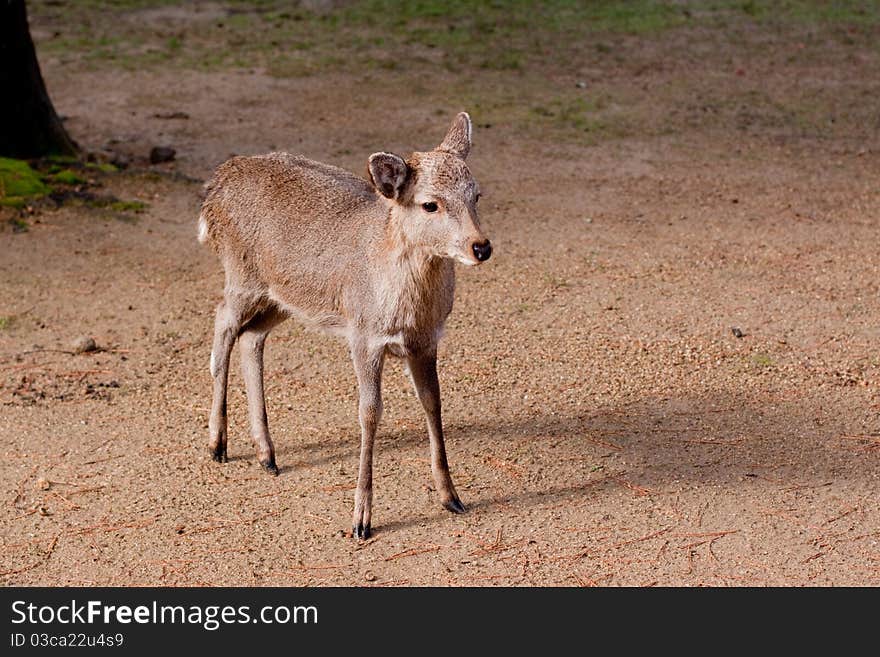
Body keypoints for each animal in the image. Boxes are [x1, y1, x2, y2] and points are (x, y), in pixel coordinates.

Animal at [195, 113, 492, 540]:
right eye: (429, 204)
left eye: (477, 195)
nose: (481, 246)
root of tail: (214, 190)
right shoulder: (363, 335)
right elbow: (369, 411)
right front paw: (361, 519)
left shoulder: (425, 341)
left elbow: (432, 402)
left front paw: (451, 497)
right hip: (241, 275)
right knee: (222, 323)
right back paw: (217, 444)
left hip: (284, 298)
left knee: (252, 336)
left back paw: (267, 454)